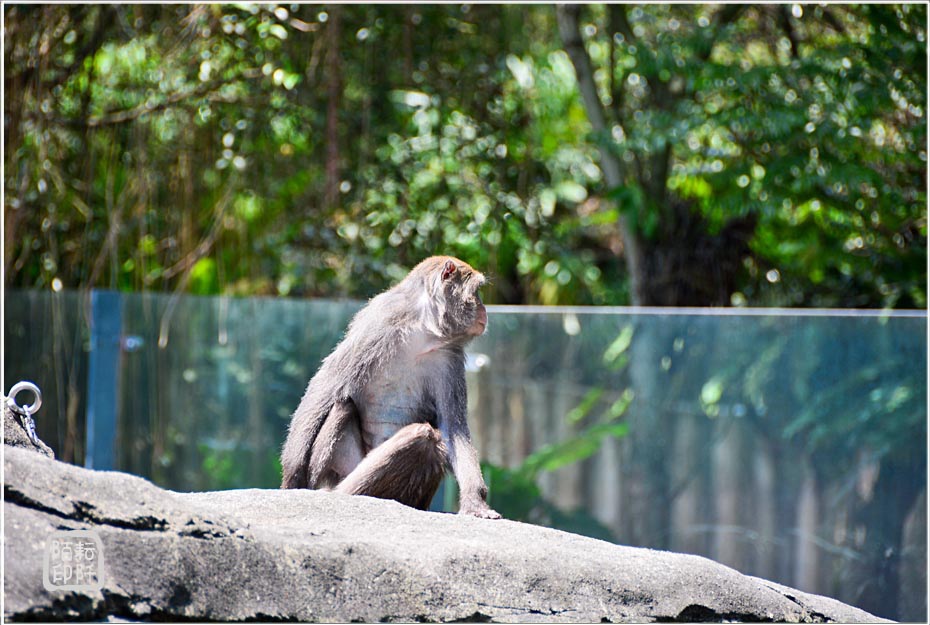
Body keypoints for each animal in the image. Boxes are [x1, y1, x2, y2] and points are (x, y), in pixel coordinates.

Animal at [280, 254, 500, 516]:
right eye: (476, 292)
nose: (484, 309)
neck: (422, 331)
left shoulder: (449, 358)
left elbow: (453, 428)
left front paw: (475, 501)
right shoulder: (377, 326)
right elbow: (325, 385)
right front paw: (292, 477)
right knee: (347, 406)